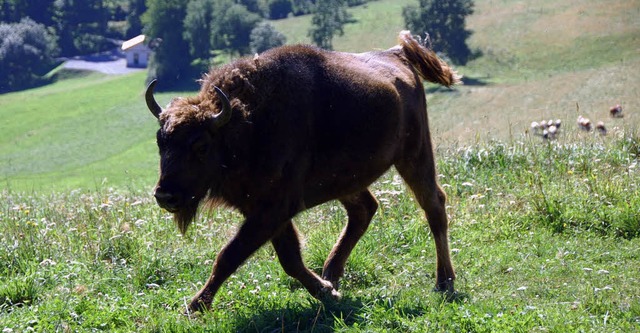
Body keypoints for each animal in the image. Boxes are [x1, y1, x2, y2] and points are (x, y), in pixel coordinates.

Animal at [146, 29, 460, 312]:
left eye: (200, 145)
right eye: (161, 141)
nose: (165, 196)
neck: (244, 122)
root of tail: (398, 55)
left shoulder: (273, 209)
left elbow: (231, 255)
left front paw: (194, 306)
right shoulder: (265, 211)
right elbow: (289, 257)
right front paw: (327, 291)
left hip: (415, 155)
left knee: (433, 206)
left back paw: (444, 282)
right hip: (347, 181)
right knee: (364, 209)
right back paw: (332, 274)